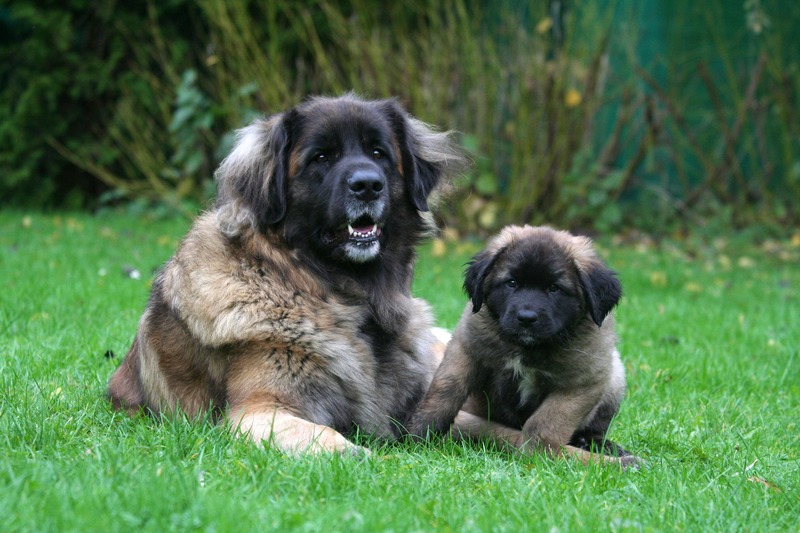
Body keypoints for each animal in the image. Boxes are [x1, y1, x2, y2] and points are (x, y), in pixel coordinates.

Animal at [410, 224, 640, 466]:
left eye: (554, 288)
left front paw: (539, 453)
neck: (525, 347)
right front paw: (418, 435)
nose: (526, 318)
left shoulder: (582, 381)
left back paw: (597, 444)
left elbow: (545, 422)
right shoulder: (466, 349)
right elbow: (444, 392)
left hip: (615, 375)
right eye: (512, 283)